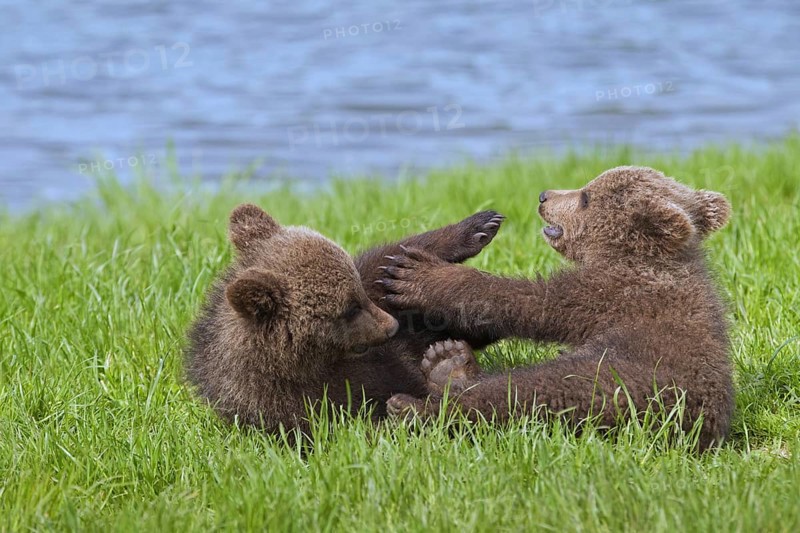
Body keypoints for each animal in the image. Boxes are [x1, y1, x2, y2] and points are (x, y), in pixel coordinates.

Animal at [185, 203, 505, 435]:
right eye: (348, 310)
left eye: (357, 294)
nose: (391, 326)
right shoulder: (315, 405)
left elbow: (385, 261)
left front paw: (479, 225)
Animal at [378, 166, 733, 450]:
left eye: (586, 197)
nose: (544, 196)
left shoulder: (609, 295)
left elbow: (529, 301)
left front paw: (415, 274)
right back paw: (448, 362)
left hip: (616, 385)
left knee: (517, 395)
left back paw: (413, 408)